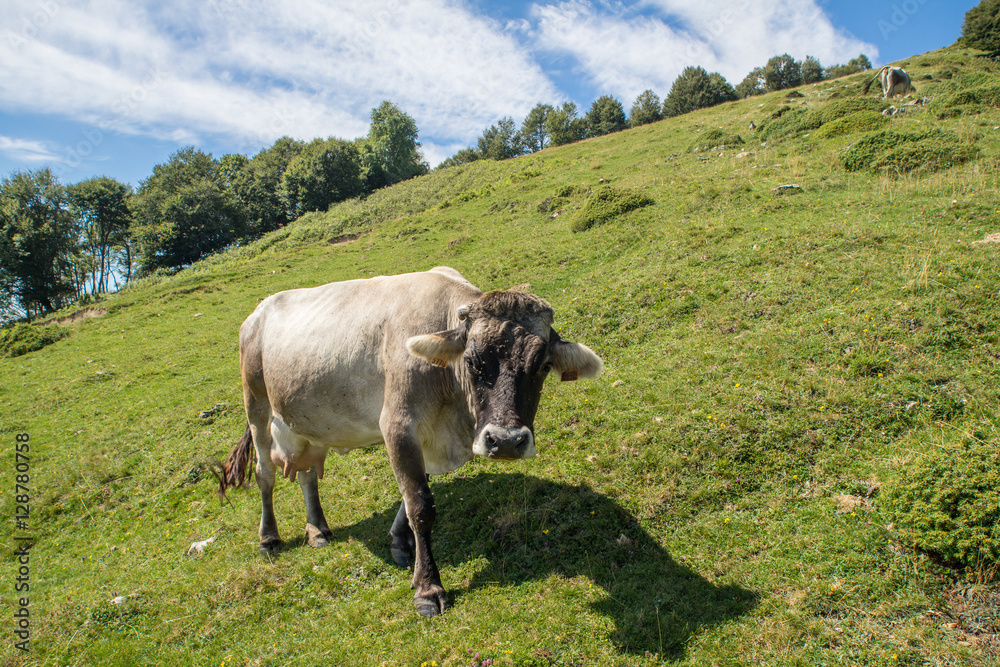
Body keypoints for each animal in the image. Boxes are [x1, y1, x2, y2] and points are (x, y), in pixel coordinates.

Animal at [219, 267, 603, 617]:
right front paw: (428, 588)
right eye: (472, 361)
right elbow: (420, 504)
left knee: (307, 473)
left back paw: (317, 530)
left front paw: (401, 544)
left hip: (307, 422)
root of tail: (256, 312)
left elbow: (409, 495)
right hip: (256, 402)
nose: (506, 441)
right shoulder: (397, 425)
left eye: (542, 366)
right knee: (264, 473)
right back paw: (269, 538)